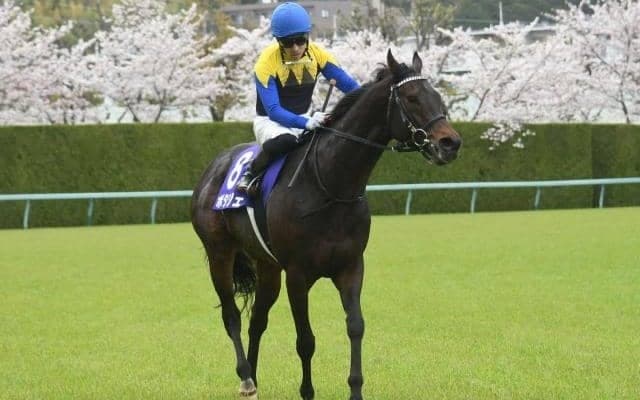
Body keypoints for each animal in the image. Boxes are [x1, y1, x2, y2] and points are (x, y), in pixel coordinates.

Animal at [191, 49, 462, 400]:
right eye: (412, 97)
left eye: (437, 96)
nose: (450, 143)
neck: (330, 185)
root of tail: (212, 169)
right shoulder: (297, 274)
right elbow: (305, 340)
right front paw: (307, 391)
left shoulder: (350, 266)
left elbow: (356, 327)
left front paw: (356, 390)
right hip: (220, 254)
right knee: (232, 316)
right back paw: (246, 379)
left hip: (267, 266)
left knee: (257, 320)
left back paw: (254, 377)